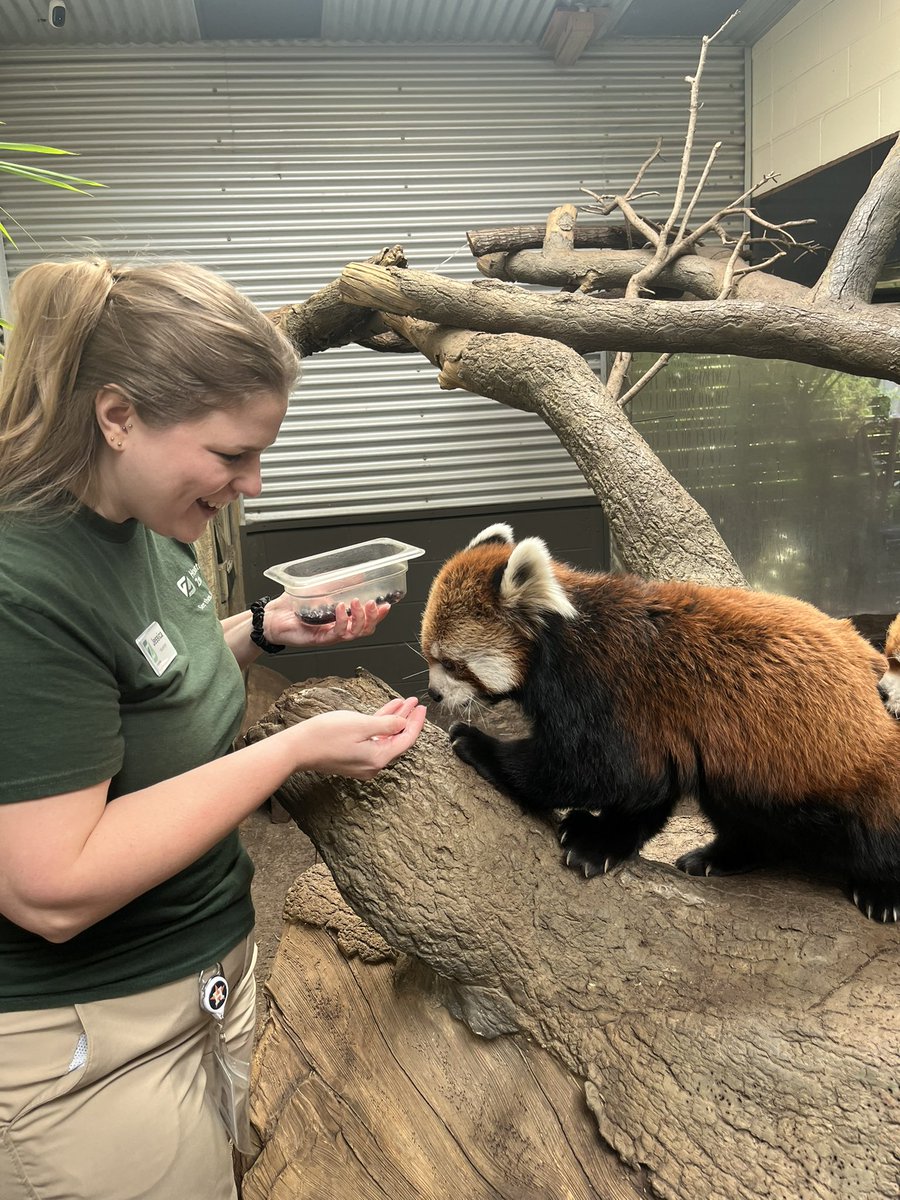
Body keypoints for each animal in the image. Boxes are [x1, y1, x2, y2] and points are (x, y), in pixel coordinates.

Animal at [420, 523, 900, 922]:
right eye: (428, 656)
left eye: (452, 664)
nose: (433, 695)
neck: (559, 640)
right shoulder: (656, 725)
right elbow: (648, 786)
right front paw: (605, 840)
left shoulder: (608, 689)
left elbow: (596, 770)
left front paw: (478, 745)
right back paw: (722, 855)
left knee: (878, 834)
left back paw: (882, 893)